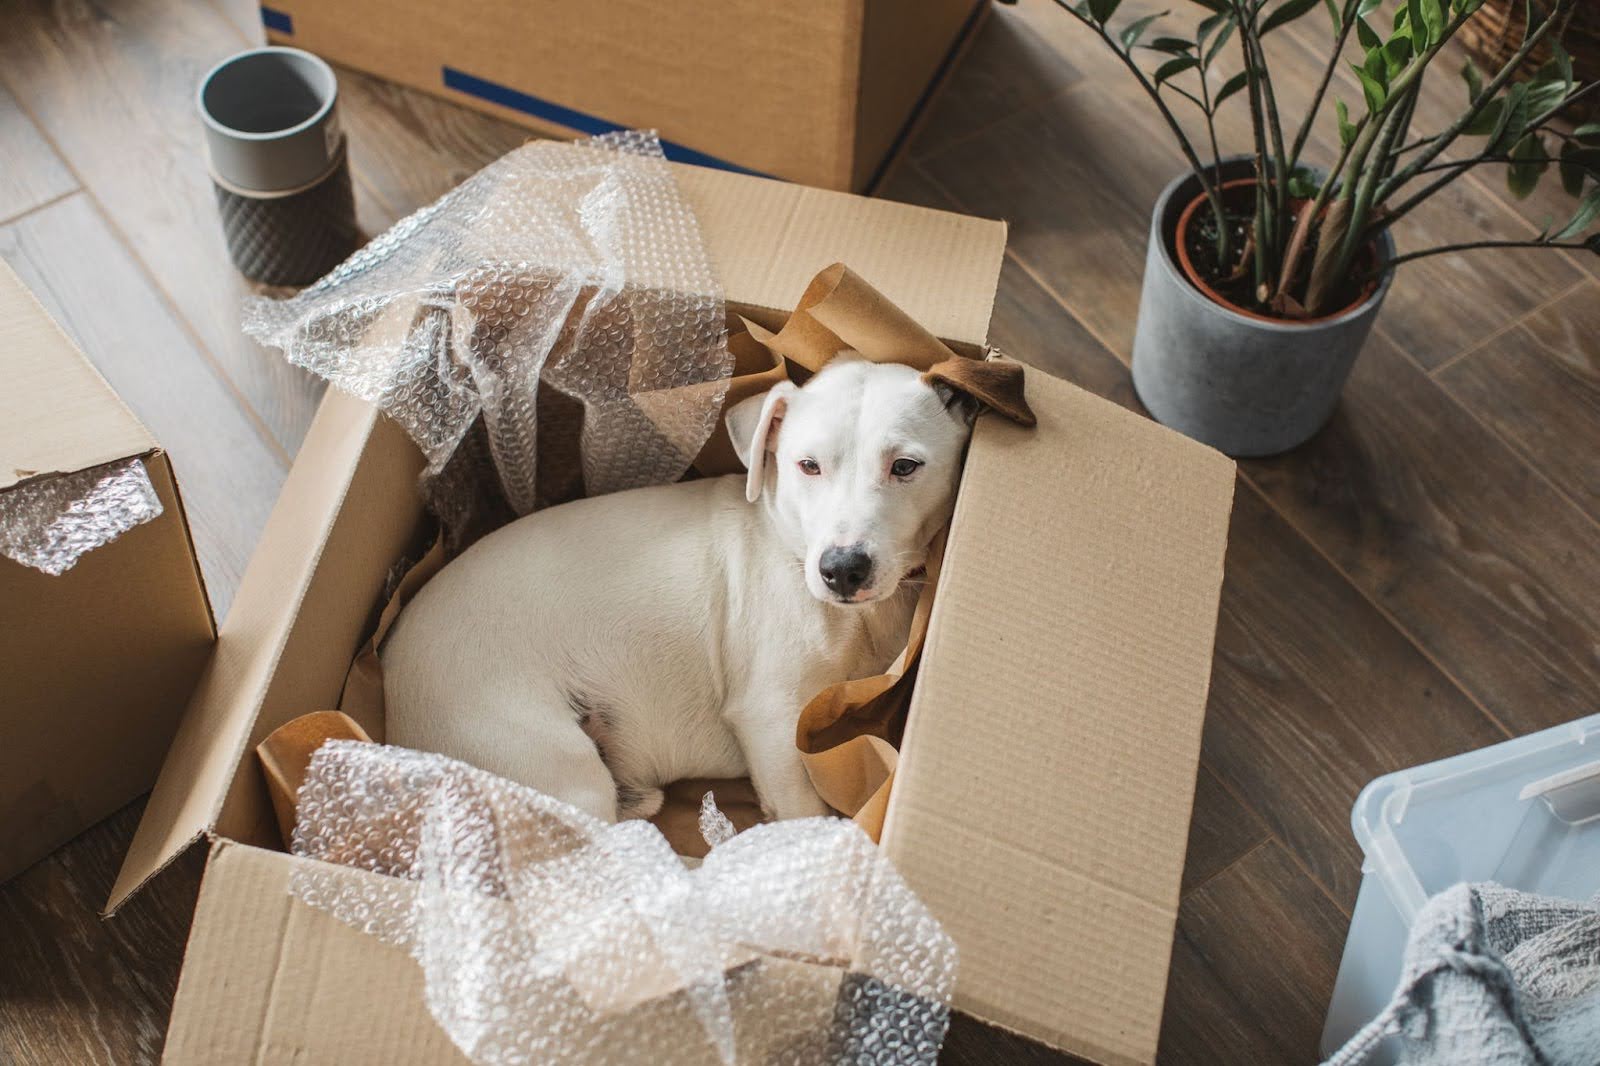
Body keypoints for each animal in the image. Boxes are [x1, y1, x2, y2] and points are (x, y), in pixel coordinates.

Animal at [380, 356, 998, 819]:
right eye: (807, 466)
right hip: (553, 765)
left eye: (906, 466)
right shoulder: (771, 719)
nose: (842, 569)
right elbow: (803, 814)